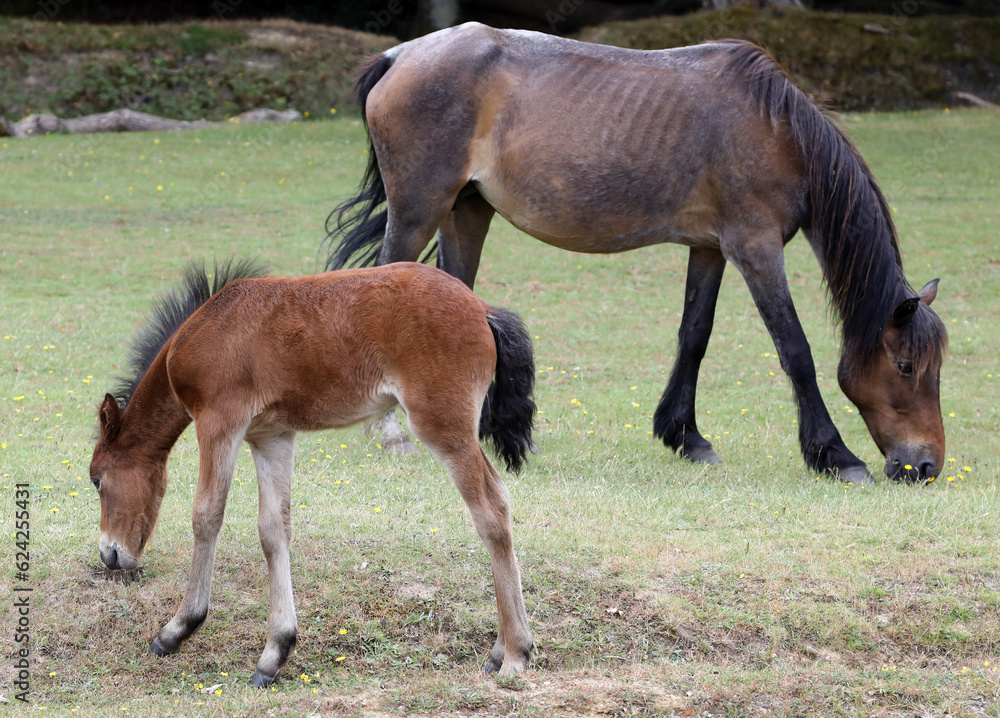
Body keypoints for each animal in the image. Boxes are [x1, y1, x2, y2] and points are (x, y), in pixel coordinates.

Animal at [89, 259, 537, 686]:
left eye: (96, 480)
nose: (109, 554)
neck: (206, 327)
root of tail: (482, 309)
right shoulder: (270, 437)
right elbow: (273, 529)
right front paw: (275, 652)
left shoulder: (220, 422)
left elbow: (206, 516)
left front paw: (178, 628)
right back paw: (499, 651)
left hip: (443, 426)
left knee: (492, 510)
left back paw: (516, 653)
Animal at [323, 23, 948, 484]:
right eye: (906, 367)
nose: (925, 466)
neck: (777, 130)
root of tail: (400, 55)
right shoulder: (755, 247)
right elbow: (794, 349)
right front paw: (835, 454)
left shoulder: (710, 249)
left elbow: (695, 336)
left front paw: (686, 436)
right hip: (419, 211)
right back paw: (394, 436)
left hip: (466, 213)